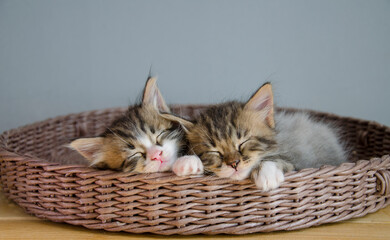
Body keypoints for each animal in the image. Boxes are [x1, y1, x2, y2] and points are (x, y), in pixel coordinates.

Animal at [165, 83, 348, 190]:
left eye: (243, 143)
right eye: (215, 152)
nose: (234, 164)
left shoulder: (297, 162)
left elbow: (276, 159)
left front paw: (267, 173)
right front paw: (187, 162)